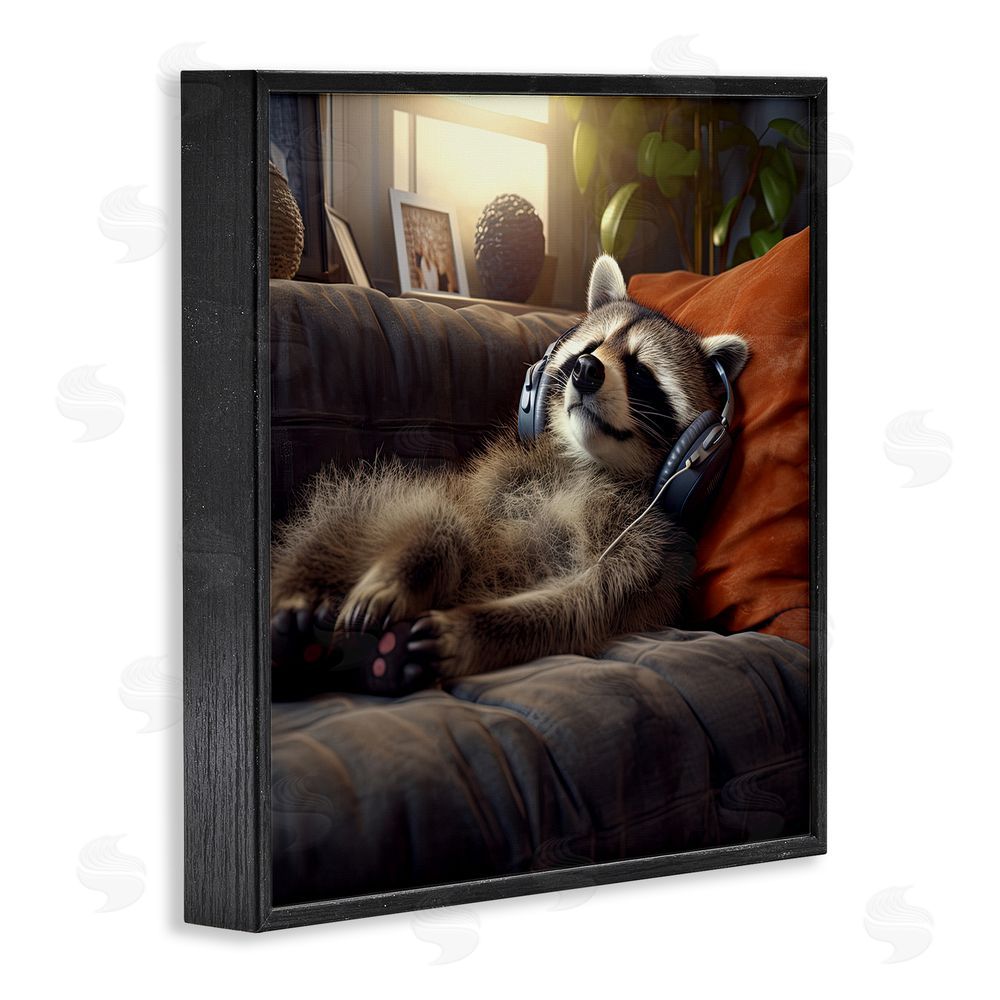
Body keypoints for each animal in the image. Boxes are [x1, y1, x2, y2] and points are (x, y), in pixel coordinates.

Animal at [270, 254, 749, 689]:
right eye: (588, 350)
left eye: (638, 370)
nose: (585, 369)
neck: (588, 462)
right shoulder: (491, 476)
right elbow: (443, 515)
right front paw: (406, 573)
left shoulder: (648, 552)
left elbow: (583, 604)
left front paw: (475, 629)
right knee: (357, 510)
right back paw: (299, 599)